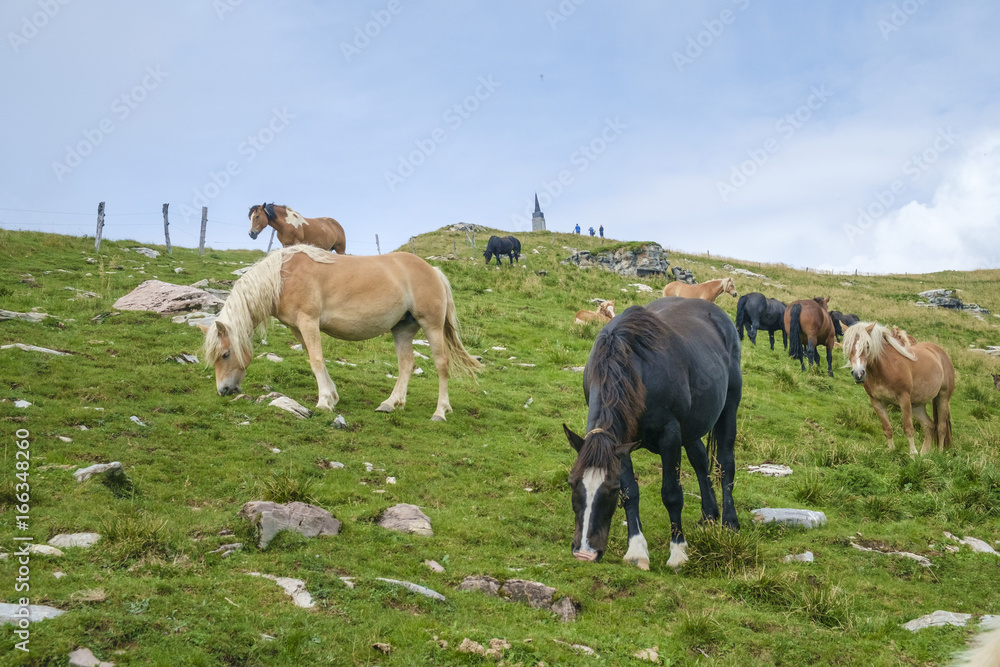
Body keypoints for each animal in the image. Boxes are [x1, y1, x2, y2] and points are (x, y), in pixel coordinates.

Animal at [201, 245, 481, 421]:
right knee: (406, 364)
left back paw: (440, 412)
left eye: (225, 354)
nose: (223, 390)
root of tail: (433, 270)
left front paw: (323, 401)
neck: (282, 278)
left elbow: (316, 360)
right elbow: (315, 359)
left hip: (431, 326)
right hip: (402, 328)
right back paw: (391, 404)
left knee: (442, 365)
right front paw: (332, 396)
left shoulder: (308, 322)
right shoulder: (298, 327)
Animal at [563, 297, 742, 571]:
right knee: (700, 461)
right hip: (692, 427)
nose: (585, 552)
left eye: (610, 490)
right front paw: (637, 551)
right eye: (572, 483)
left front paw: (678, 552)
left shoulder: (670, 436)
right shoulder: (622, 443)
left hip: (729, 407)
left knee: (725, 463)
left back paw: (729, 522)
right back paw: (709, 515)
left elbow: (672, 494)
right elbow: (631, 493)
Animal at [843, 322, 954, 457]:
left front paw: (912, 454)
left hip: (942, 398)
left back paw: (939, 453)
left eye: (867, 346)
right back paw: (924, 454)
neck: (884, 369)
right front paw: (891, 450)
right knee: (929, 426)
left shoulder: (904, 399)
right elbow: (887, 429)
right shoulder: (877, 403)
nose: (858, 374)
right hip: (917, 405)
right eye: (847, 346)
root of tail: (941, 353)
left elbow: (908, 429)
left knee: (941, 427)